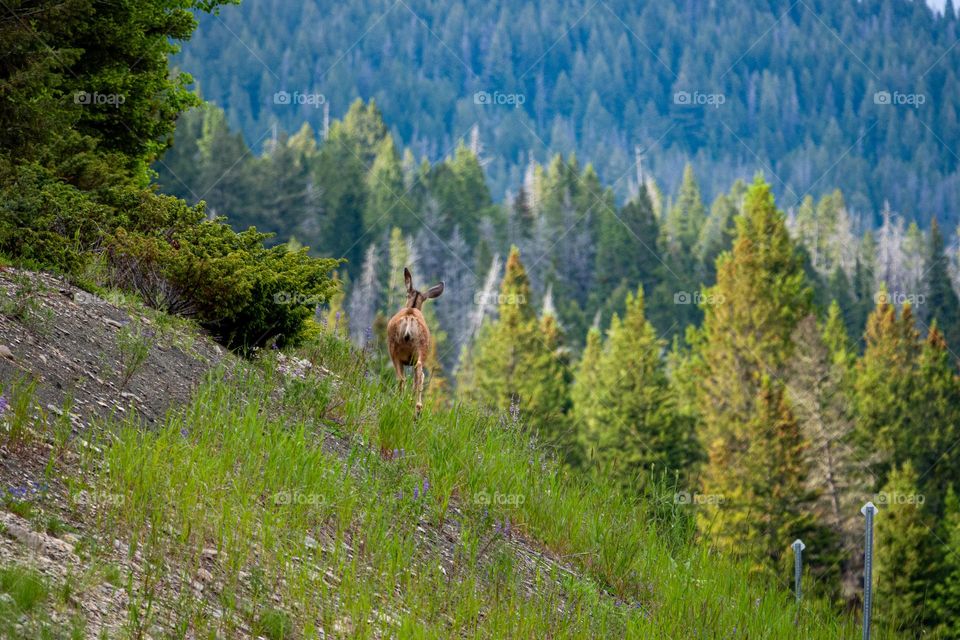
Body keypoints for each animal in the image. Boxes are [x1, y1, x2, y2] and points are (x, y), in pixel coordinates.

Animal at [387, 267, 444, 417]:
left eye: (406, 295)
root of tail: (409, 318)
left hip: (395, 350)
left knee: (406, 377)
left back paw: (410, 405)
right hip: (417, 351)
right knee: (416, 374)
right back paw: (416, 407)